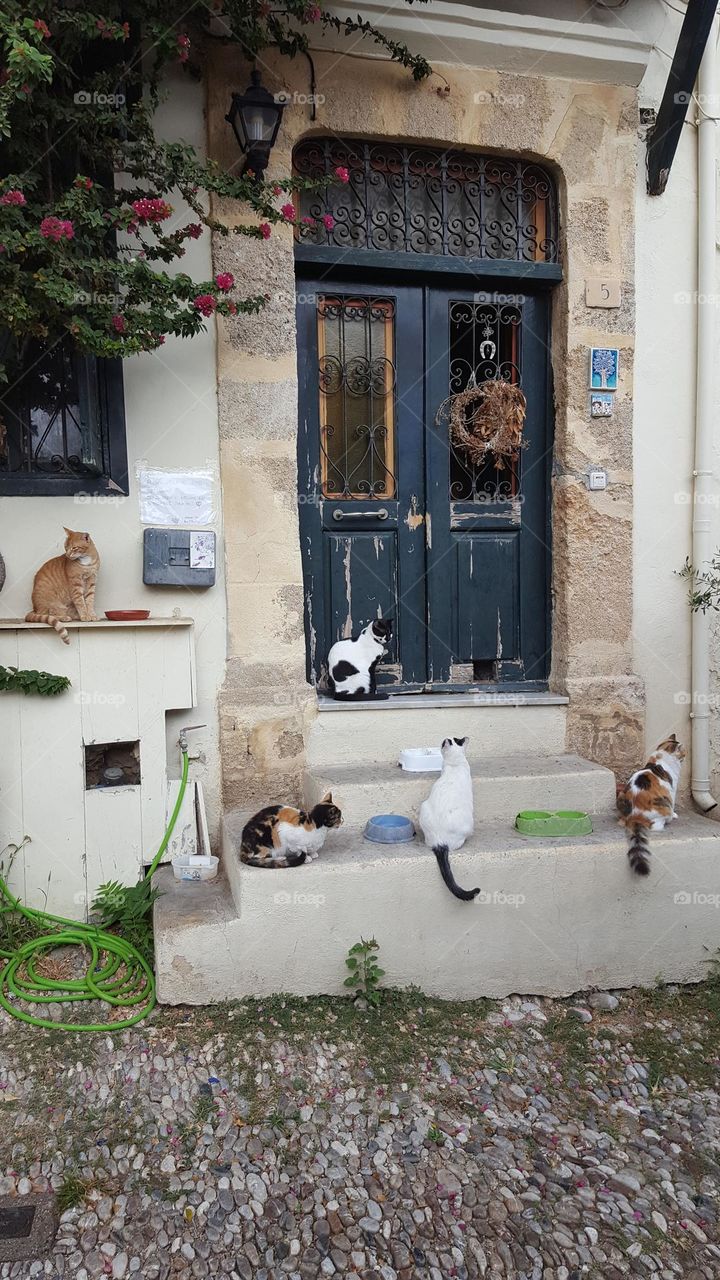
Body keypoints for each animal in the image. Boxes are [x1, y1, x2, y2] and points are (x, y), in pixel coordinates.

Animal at [609, 737, 681, 875]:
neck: (658, 760)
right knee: (656, 826)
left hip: (620, 796)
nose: (685, 754)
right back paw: (668, 820)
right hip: (663, 807)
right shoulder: (672, 789)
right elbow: (674, 803)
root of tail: (635, 816)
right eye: (683, 751)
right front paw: (675, 815)